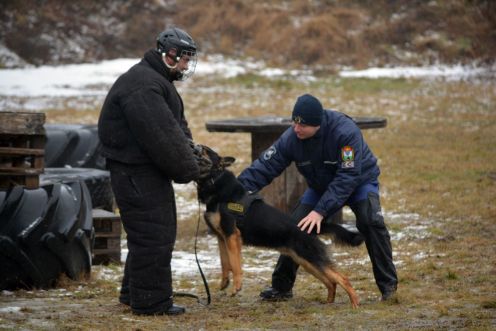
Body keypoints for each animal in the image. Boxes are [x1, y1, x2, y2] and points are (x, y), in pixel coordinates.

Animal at [194, 145, 360, 308]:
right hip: (305, 261)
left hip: (311, 258)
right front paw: (224, 283)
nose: (193, 146)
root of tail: (310, 228)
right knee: (331, 282)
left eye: (205, 150)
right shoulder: (222, 238)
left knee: (342, 278)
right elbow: (224, 263)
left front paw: (236, 287)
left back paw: (354, 304)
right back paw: (329, 302)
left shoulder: (232, 236)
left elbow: (235, 265)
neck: (214, 181)